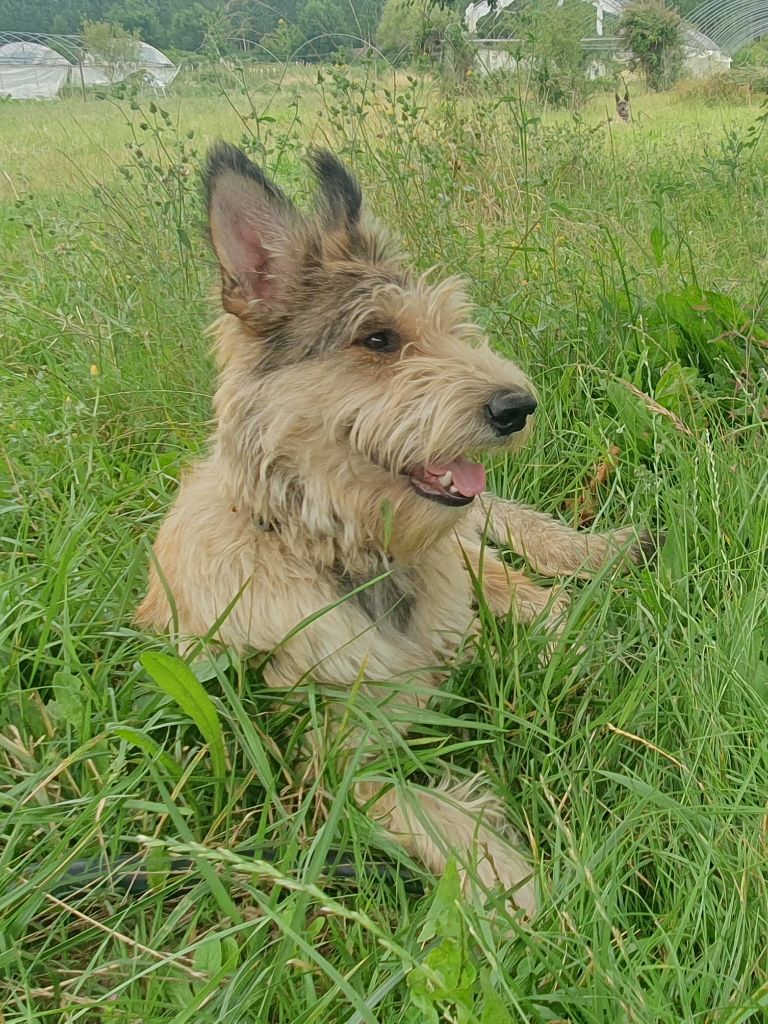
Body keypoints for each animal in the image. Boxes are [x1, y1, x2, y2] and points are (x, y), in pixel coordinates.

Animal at [135, 140, 659, 917]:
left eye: (450, 326)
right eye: (378, 338)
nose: (519, 406)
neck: (344, 551)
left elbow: (545, 632)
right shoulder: (330, 761)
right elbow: (424, 809)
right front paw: (513, 886)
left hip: (476, 558)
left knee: (542, 588)